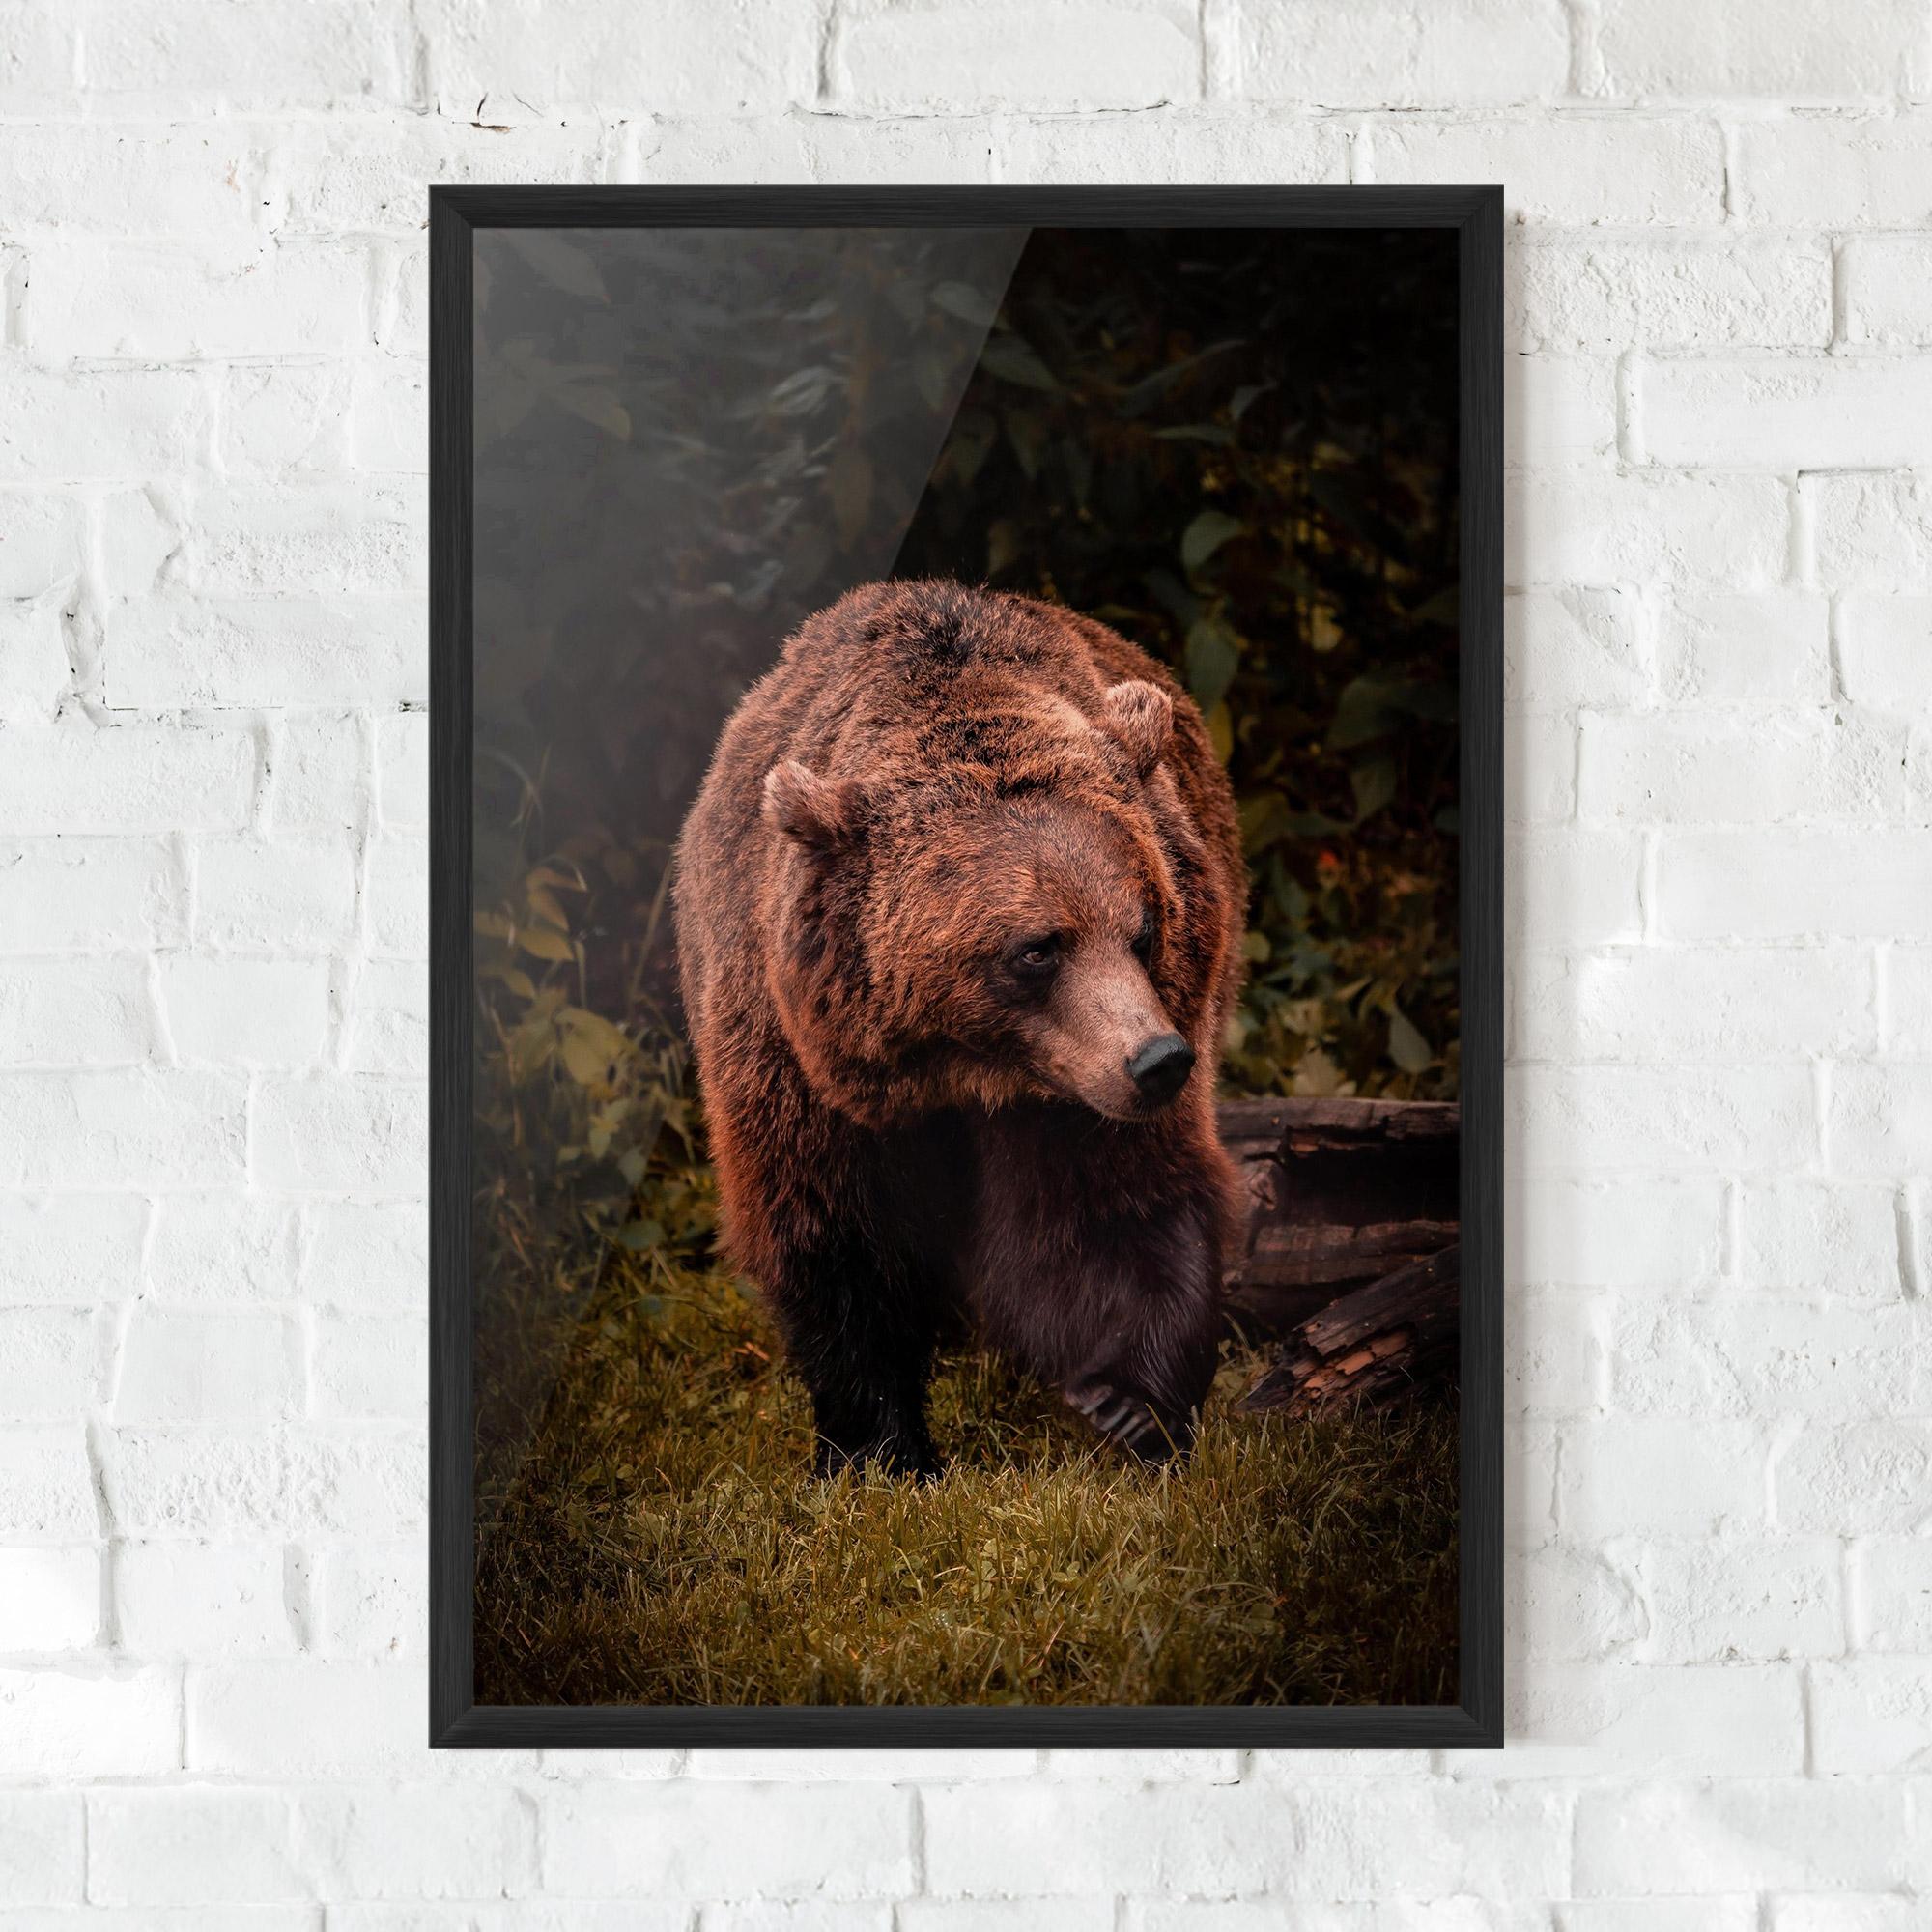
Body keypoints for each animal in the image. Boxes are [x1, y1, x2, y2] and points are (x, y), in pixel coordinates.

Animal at [673, 578, 1248, 1477]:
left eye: (1144, 927)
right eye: (1038, 948)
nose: (1159, 1060)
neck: (962, 1069)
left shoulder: (1077, 1087)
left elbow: (1110, 1209)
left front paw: (1128, 1403)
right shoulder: (795, 1061)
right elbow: (837, 1237)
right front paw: (879, 1447)